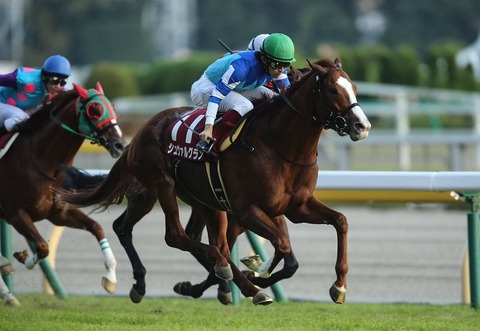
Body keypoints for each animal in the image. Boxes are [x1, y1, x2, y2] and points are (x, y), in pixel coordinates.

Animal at [0, 83, 126, 296]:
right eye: (94, 110)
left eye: (114, 108)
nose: (120, 145)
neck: (42, 162)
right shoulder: (14, 213)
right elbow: (43, 247)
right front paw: (23, 258)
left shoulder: (58, 212)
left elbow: (97, 227)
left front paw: (110, 277)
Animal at [55, 59, 372, 306]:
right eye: (333, 90)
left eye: (355, 89)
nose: (362, 126)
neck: (281, 147)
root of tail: (142, 131)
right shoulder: (248, 210)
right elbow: (281, 245)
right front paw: (258, 270)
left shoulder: (296, 206)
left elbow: (339, 222)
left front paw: (339, 286)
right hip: (162, 186)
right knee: (178, 237)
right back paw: (242, 284)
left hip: (201, 201)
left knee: (149, 231)